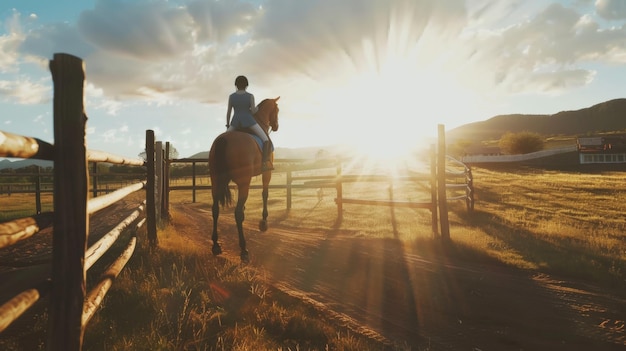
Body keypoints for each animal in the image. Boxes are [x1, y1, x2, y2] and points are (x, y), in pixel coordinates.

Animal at [208, 97, 280, 262]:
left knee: (215, 209)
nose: (276, 126)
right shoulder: (267, 174)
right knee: (237, 213)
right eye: (277, 110)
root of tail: (223, 140)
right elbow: (265, 194)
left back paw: (216, 245)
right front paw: (263, 222)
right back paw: (244, 250)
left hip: (216, 181)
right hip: (244, 181)